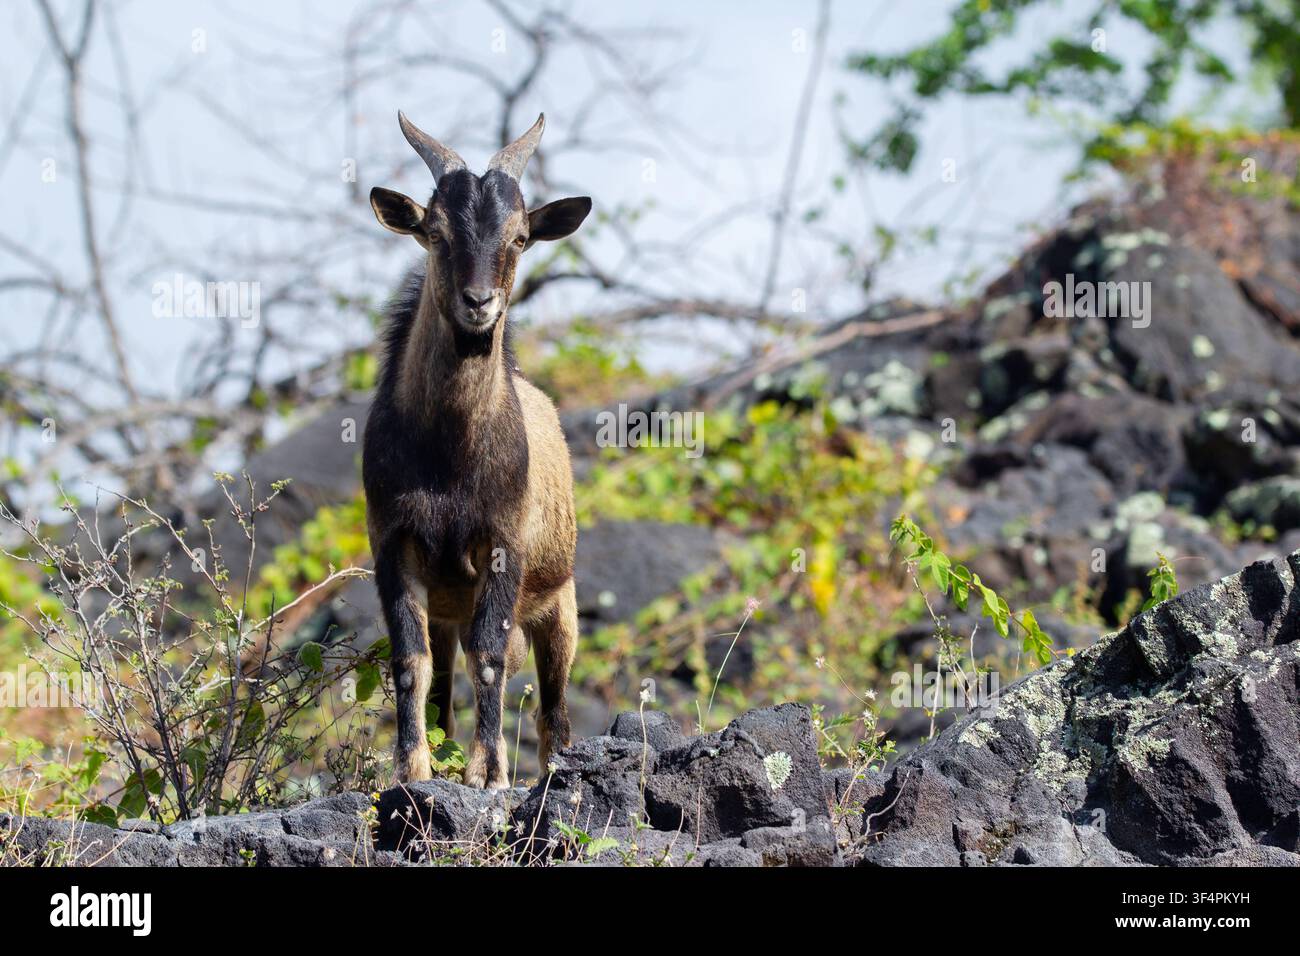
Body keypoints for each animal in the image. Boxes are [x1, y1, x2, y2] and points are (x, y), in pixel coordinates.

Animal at [363, 111, 591, 788]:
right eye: (435, 233)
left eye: (520, 237)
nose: (479, 303)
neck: (448, 461)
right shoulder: (393, 542)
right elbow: (409, 663)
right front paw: (411, 771)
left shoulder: (502, 544)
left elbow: (489, 658)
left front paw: (488, 774)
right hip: (448, 607)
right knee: (442, 688)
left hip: (560, 605)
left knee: (553, 710)